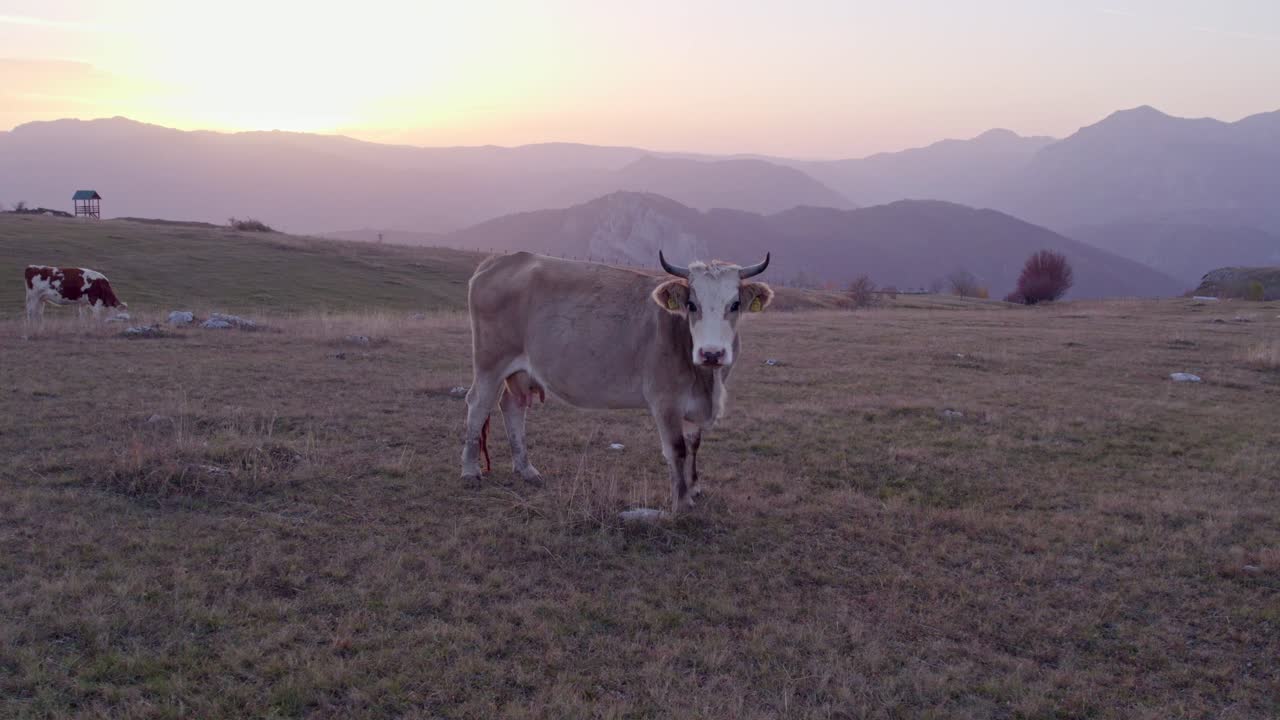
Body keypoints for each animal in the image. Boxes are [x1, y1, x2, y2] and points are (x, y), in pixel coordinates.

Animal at [461, 250, 773, 514]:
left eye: (734, 304)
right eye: (691, 304)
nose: (711, 353)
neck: (707, 381)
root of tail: (502, 259)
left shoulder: (694, 405)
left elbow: (694, 444)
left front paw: (694, 487)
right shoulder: (665, 401)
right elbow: (677, 449)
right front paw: (682, 502)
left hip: (520, 371)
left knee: (512, 406)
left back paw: (526, 469)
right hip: (491, 361)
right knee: (478, 404)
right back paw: (470, 471)